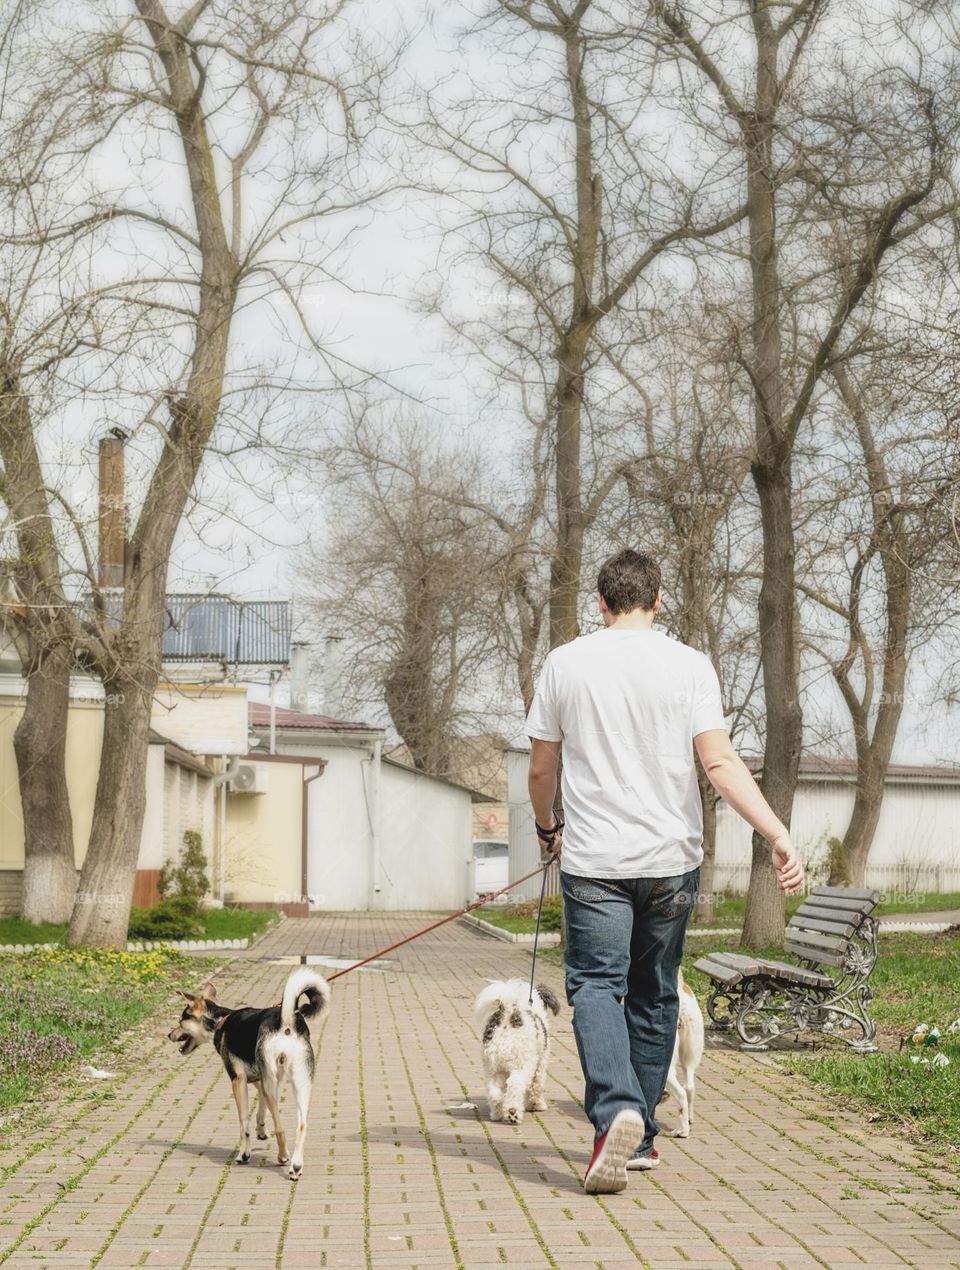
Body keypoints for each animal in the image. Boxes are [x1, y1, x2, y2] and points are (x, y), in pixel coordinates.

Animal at [166, 970, 327, 1178]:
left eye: (180, 1021)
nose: (169, 1035)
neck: (221, 1021)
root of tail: (286, 1022)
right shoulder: (262, 1079)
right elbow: (260, 1109)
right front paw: (261, 1130)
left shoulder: (238, 1081)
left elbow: (244, 1123)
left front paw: (244, 1153)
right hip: (298, 1082)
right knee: (301, 1126)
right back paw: (296, 1166)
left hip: (272, 1084)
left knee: (280, 1128)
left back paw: (283, 1156)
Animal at [474, 980, 561, 1122]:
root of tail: (508, 1013)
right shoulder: (540, 1063)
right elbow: (537, 1085)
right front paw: (537, 1105)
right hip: (521, 1065)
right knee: (515, 1084)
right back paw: (513, 1112)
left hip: (491, 1067)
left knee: (494, 1092)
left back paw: (497, 1114)